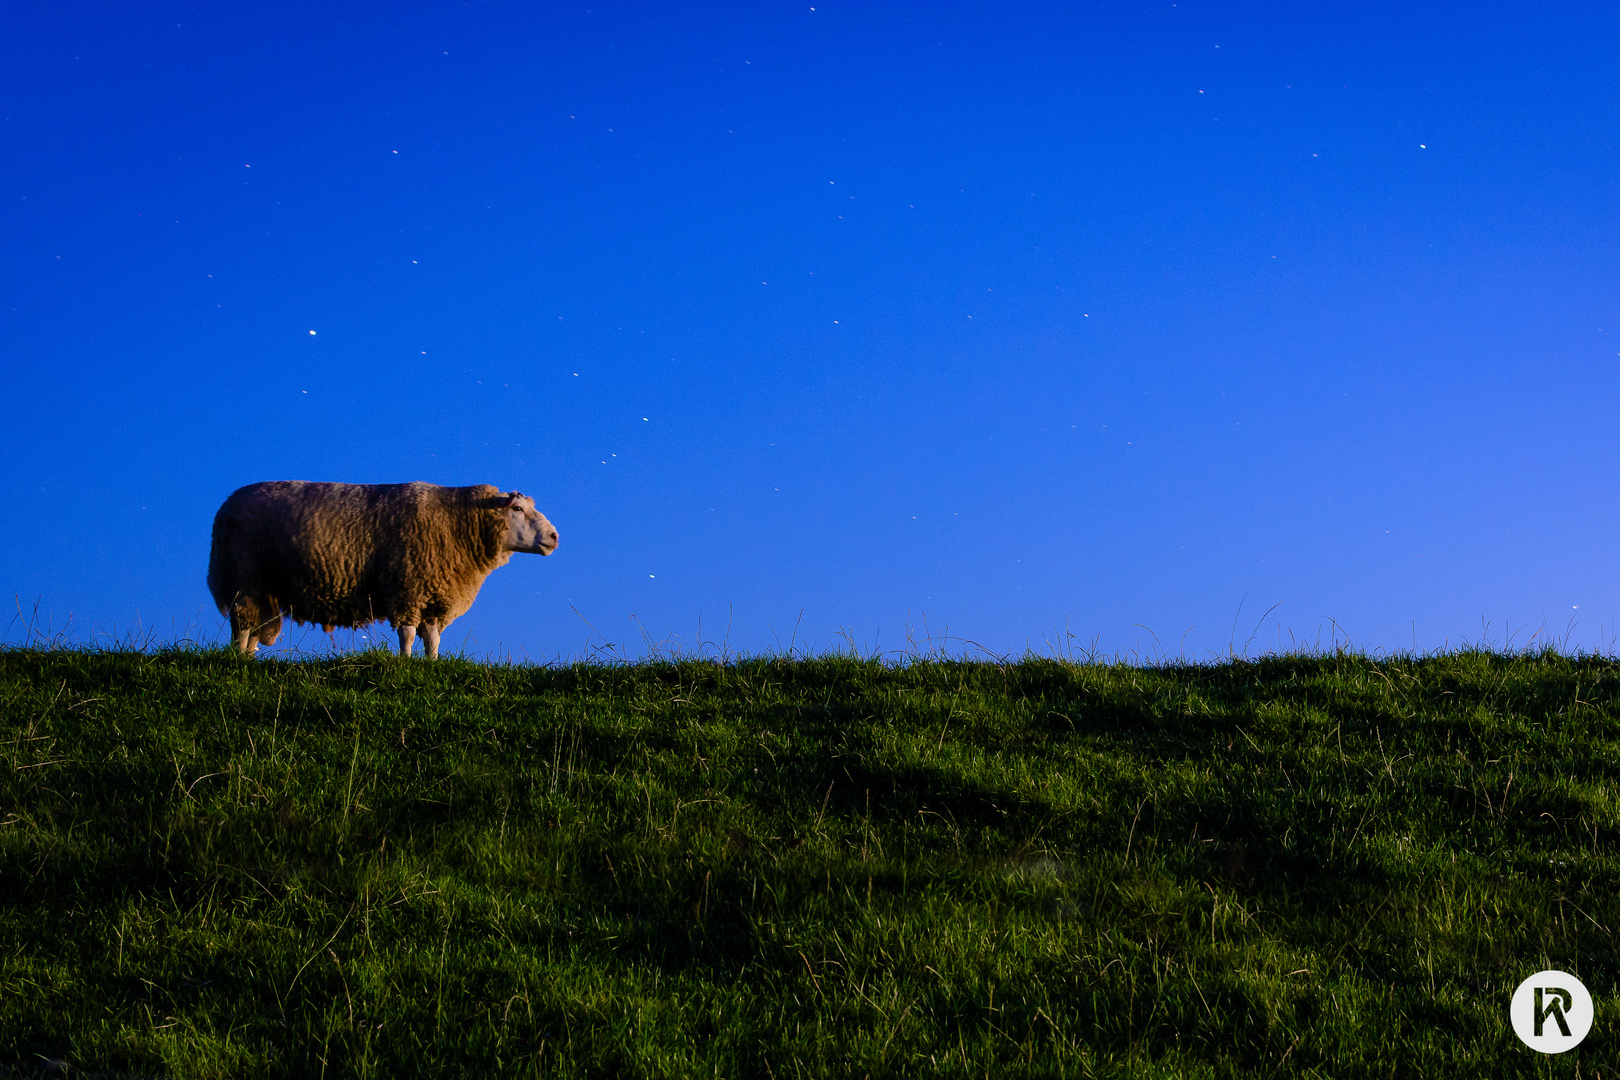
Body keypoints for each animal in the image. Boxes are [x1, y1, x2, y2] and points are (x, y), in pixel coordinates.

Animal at [205, 482, 560, 660]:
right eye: (517, 509)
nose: (555, 536)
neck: (457, 521)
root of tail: (226, 505)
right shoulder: (408, 587)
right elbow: (408, 634)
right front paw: (404, 663)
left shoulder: (434, 595)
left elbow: (433, 638)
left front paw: (431, 665)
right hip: (243, 578)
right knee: (242, 627)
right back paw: (236, 661)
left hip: (260, 590)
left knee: (252, 628)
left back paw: (248, 659)